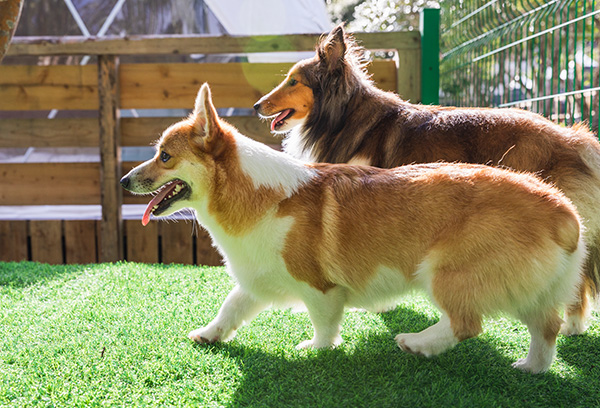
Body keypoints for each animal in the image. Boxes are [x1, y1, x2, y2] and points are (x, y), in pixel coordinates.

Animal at [120, 84, 584, 374]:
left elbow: (325, 325)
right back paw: (531, 368)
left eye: (164, 156)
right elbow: (230, 308)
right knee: (546, 328)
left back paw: (418, 343)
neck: (252, 193)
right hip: (529, 290)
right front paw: (208, 335)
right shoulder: (257, 281)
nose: (124, 181)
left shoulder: (321, 289)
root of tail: (562, 210)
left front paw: (314, 351)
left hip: (445, 273)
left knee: (467, 324)